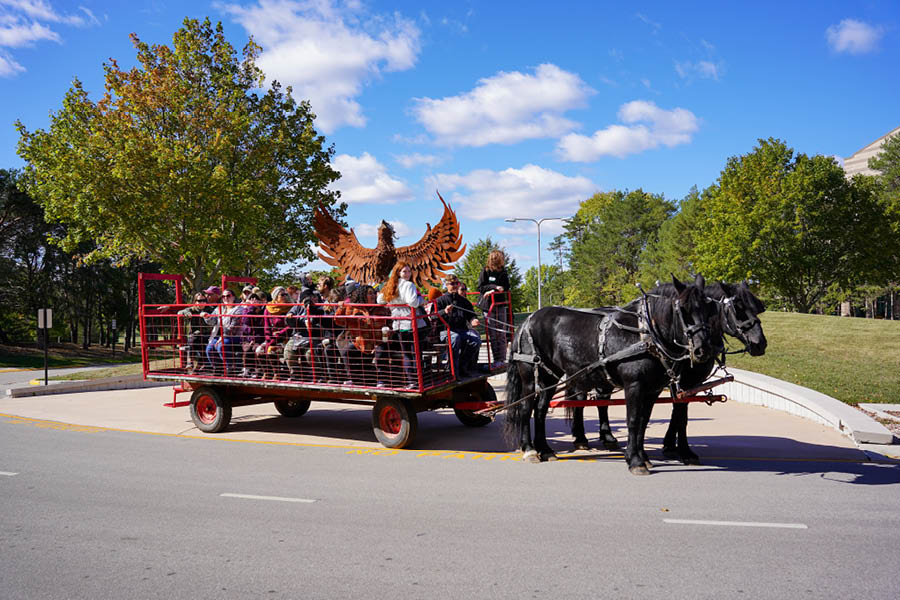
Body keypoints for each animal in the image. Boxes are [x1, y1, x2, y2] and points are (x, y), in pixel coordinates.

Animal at [502, 274, 720, 476]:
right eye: (682, 309)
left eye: (709, 310)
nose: (703, 349)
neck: (645, 333)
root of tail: (527, 321)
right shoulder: (634, 385)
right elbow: (633, 420)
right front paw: (635, 461)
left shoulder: (652, 390)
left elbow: (643, 421)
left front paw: (642, 457)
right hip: (530, 377)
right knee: (525, 409)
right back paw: (530, 450)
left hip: (551, 377)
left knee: (540, 410)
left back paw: (545, 450)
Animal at [568, 282, 768, 464]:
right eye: (738, 309)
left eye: (756, 310)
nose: (760, 344)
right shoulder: (680, 381)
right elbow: (680, 415)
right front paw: (681, 450)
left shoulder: (687, 384)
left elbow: (677, 413)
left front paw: (671, 446)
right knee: (585, 400)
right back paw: (583, 438)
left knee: (599, 400)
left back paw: (603, 437)